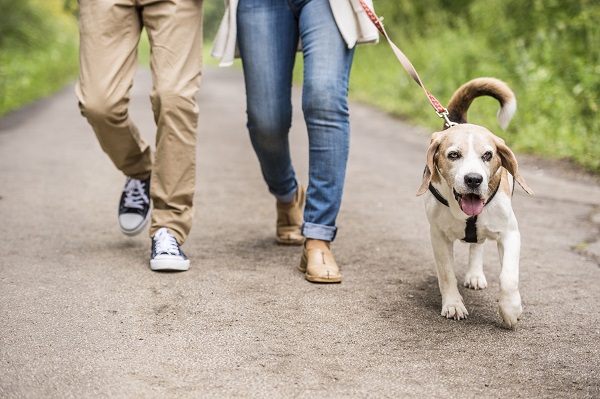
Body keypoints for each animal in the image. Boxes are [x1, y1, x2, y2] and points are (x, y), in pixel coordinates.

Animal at [418, 77, 536, 328]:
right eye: (453, 155)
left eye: (487, 155)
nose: (473, 179)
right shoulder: (438, 236)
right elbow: (446, 274)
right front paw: (453, 304)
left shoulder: (511, 234)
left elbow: (508, 277)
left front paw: (510, 309)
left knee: (477, 246)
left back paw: (475, 274)